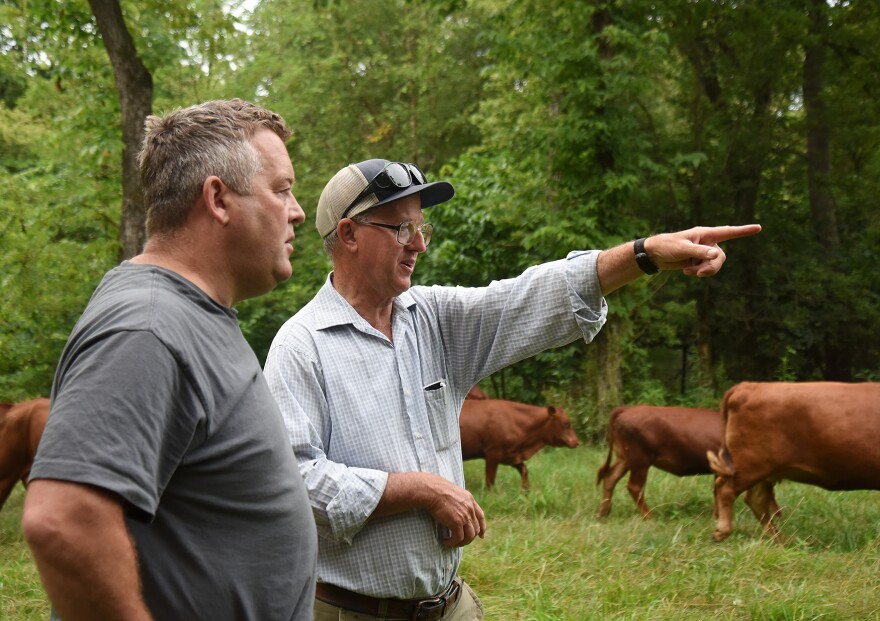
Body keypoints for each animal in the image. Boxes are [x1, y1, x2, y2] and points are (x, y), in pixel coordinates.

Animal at [596, 402, 740, 520]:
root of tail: (628, 408)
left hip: (624, 458)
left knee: (610, 477)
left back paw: (603, 513)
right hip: (640, 460)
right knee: (634, 486)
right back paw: (649, 516)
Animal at [708, 380, 880, 540]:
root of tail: (748, 385)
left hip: (764, 471)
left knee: (756, 499)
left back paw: (781, 540)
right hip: (751, 465)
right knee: (726, 488)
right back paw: (723, 530)